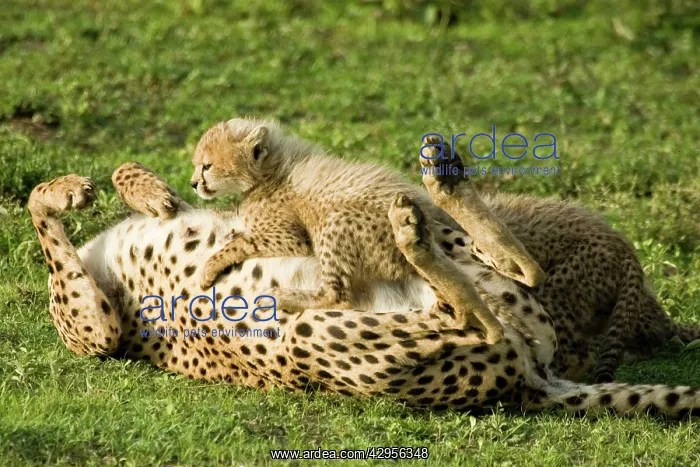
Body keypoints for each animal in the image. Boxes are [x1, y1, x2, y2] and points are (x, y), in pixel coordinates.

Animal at [26, 160, 700, 419]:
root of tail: (530, 381)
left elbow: (51, 206)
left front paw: (126, 188)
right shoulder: (103, 332)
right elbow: (44, 221)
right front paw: (72, 191)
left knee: (506, 272)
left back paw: (431, 194)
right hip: (327, 337)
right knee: (481, 308)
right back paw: (418, 220)